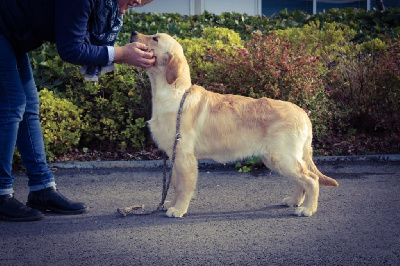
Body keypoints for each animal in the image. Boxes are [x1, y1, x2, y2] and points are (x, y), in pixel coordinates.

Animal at [131, 31, 338, 218]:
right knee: (301, 181)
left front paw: (179, 209)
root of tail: (303, 113)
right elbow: (174, 183)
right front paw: (171, 204)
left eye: (155, 38)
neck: (174, 93)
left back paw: (307, 209)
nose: (133, 33)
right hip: (279, 159)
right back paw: (294, 201)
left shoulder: (184, 156)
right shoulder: (174, 154)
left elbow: (183, 187)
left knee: (311, 180)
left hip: (281, 158)